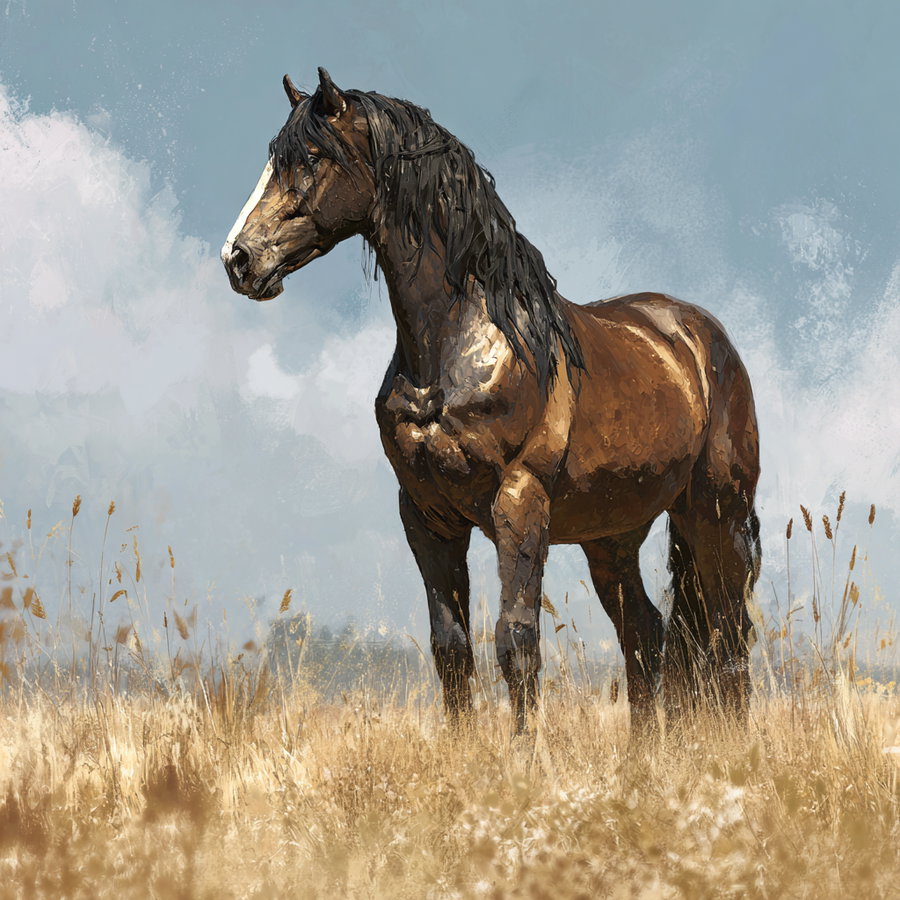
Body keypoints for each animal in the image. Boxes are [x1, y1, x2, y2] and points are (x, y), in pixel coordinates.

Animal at [222, 68, 761, 734]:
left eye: (314, 157)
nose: (239, 259)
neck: (456, 349)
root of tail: (703, 338)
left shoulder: (518, 503)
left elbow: (515, 641)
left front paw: (527, 753)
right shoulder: (426, 517)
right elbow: (451, 649)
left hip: (716, 515)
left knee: (729, 637)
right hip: (614, 535)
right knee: (646, 633)